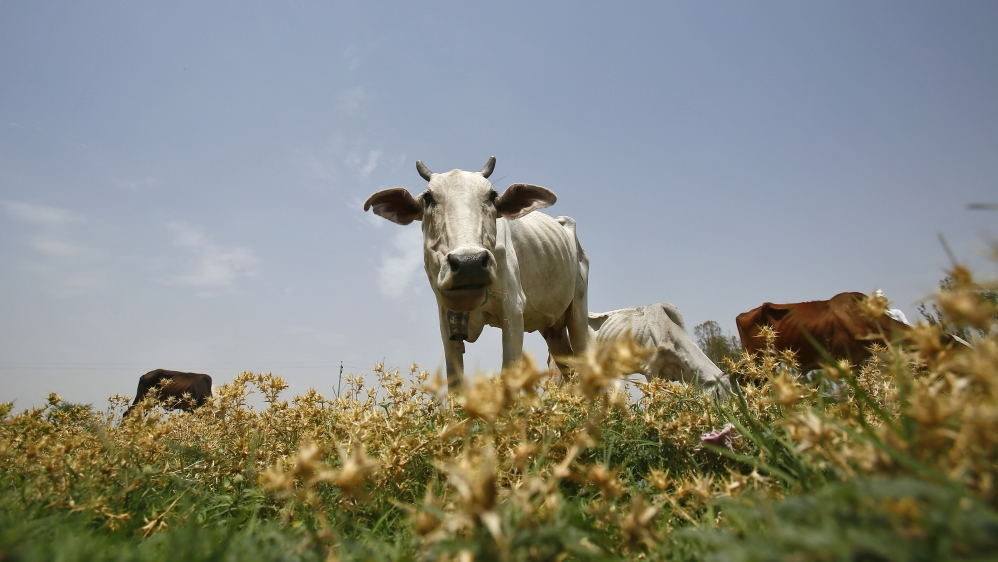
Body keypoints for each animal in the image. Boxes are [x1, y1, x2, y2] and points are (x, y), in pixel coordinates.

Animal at [364, 157, 589, 390]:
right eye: (428, 198)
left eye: (491, 196)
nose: (469, 264)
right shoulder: (446, 318)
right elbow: (455, 382)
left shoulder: (513, 308)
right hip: (553, 327)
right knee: (568, 366)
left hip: (578, 309)